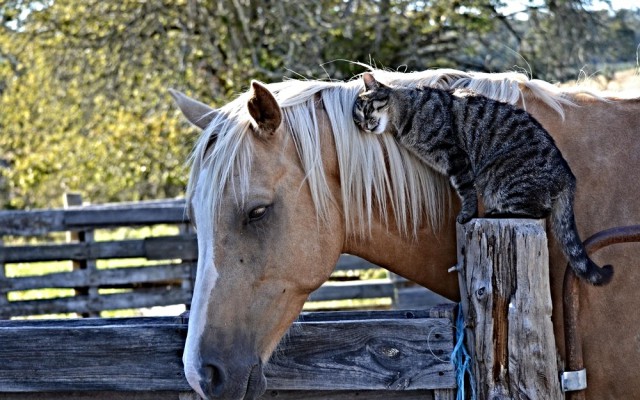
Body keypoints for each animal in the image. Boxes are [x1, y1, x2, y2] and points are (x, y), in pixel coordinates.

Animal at [352, 72, 612, 284]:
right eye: (358, 120)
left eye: (367, 109)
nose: (365, 125)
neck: (405, 115)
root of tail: (567, 175)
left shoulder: (455, 157)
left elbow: (465, 190)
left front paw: (466, 214)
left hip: (501, 178)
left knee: (537, 211)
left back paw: (496, 213)